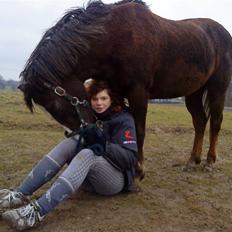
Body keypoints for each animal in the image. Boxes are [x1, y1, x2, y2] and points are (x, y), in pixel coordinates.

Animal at [18, 0, 232, 179]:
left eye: (55, 106)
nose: (84, 138)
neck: (115, 37)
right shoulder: (117, 92)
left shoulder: (139, 92)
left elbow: (139, 130)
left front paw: (138, 171)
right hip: (194, 92)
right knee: (200, 122)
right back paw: (192, 161)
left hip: (218, 88)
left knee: (215, 122)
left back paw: (209, 162)